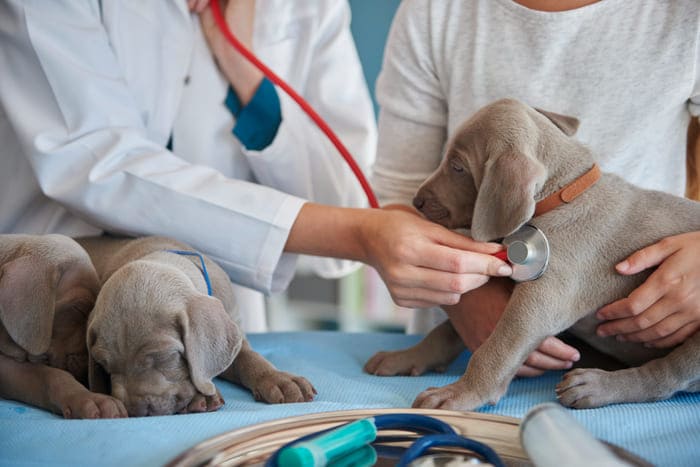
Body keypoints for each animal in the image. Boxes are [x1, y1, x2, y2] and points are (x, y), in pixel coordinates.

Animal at [76, 236, 314, 418]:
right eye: (103, 365)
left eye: (165, 356)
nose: (136, 410)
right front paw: (200, 397)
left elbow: (248, 357)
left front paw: (278, 379)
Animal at [364, 98, 700, 410]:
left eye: (458, 167)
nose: (416, 201)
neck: (562, 195)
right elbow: (445, 330)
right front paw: (406, 356)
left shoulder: (541, 301)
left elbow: (496, 348)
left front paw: (459, 393)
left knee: (667, 377)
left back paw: (595, 386)